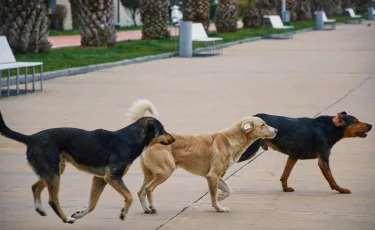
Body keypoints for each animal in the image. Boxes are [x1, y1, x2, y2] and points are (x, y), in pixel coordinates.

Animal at [0, 99, 175, 224]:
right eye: (162, 130)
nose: (173, 139)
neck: (129, 139)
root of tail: (30, 138)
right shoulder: (112, 177)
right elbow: (129, 196)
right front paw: (123, 213)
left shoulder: (100, 179)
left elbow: (92, 204)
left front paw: (79, 214)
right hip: (53, 173)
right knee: (52, 200)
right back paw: (66, 218)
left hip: (53, 171)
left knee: (35, 187)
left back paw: (41, 209)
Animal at [129, 105, 280, 213]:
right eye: (263, 125)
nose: (276, 130)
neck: (230, 140)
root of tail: (151, 140)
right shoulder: (213, 176)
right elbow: (213, 196)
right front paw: (218, 207)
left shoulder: (217, 176)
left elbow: (228, 189)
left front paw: (221, 197)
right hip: (165, 171)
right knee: (148, 189)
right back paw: (152, 207)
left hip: (150, 173)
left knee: (140, 192)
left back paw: (147, 209)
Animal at [239, 112, 372, 193]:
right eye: (355, 121)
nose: (371, 125)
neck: (330, 127)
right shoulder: (323, 160)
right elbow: (331, 179)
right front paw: (340, 189)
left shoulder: (293, 156)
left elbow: (285, 175)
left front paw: (285, 188)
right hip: (248, 152)